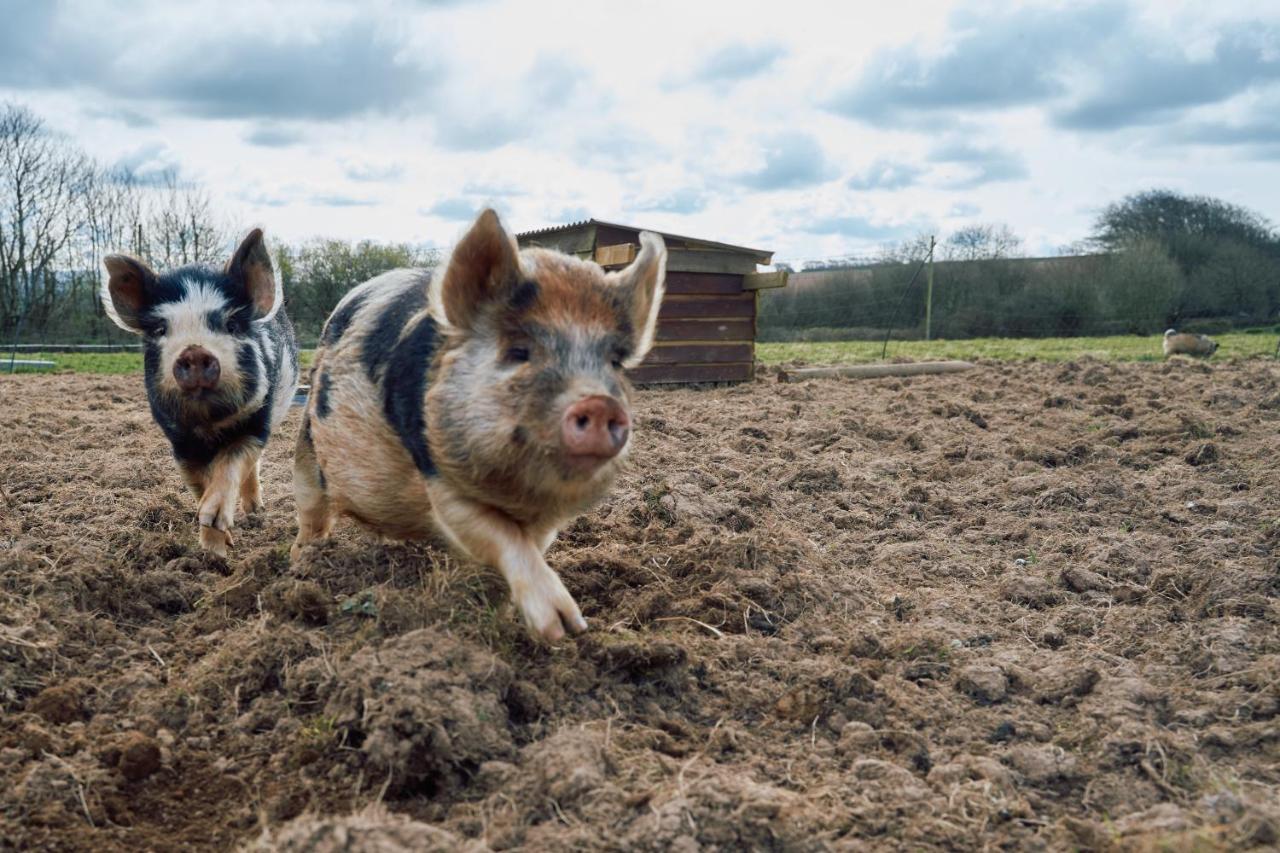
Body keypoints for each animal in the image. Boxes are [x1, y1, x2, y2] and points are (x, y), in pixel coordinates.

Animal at [103, 229, 299, 555]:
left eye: (232, 324)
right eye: (159, 330)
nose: (194, 351)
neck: (209, 425)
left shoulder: (258, 418)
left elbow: (233, 462)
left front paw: (214, 524)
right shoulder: (179, 441)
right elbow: (198, 483)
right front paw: (214, 548)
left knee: (252, 467)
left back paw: (256, 512)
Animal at [293, 208, 665, 637]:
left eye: (615, 361)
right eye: (518, 351)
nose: (600, 402)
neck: (518, 493)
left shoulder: (545, 523)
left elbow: (527, 547)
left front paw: (510, 614)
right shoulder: (436, 471)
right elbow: (498, 533)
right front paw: (562, 627)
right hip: (307, 454)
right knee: (310, 514)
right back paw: (299, 565)